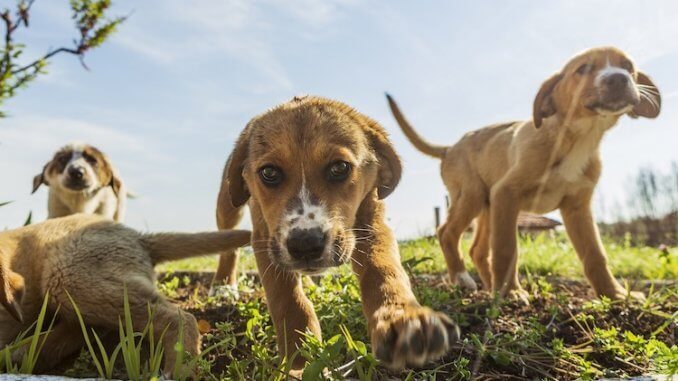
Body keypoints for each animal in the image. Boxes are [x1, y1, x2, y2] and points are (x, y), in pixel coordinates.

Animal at [0, 214, 252, 374]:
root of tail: (139, 237)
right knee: (82, 329)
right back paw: (20, 353)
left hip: (67, 276)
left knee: (180, 317)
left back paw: (180, 370)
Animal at [216, 95, 462, 372]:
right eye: (269, 173)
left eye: (340, 168)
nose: (306, 245)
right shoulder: (265, 236)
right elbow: (286, 297)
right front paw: (299, 356)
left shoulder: (372, 223)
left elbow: (383, 270)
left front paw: (403, 318)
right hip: (227, 206)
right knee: (228, 245)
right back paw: (224, 286)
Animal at [390, 46, 660, 302]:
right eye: (583, 69)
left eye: (628, 67)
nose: (618, 78)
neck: (576, 139)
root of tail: (450, 148)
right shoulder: (507, 193)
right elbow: (507, 248)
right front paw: (511, 292)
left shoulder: (577, 207)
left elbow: (595, 254)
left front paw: (614, 294)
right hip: (472, 196)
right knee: (446, 232)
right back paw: (463, 279)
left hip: (488, 206)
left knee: (477, 250)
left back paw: (490, 287)